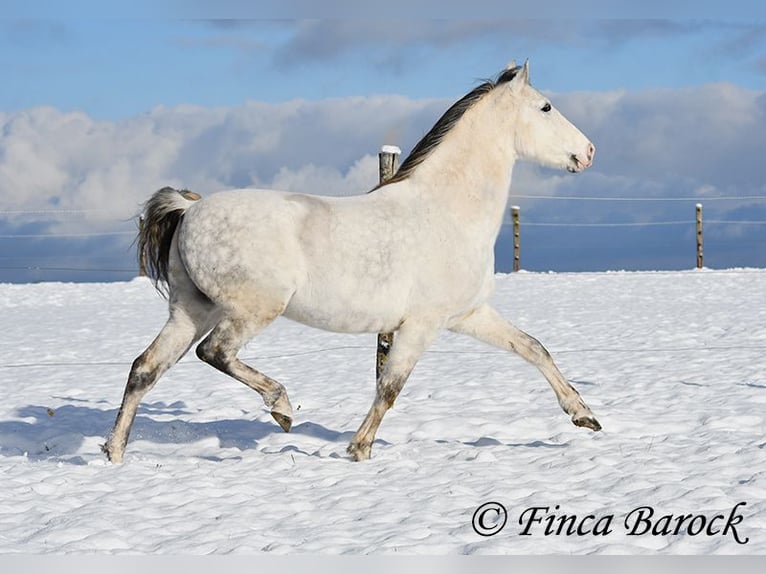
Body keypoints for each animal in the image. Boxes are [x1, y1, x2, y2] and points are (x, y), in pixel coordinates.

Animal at [105, 60, 604, 466]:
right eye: (545, 107)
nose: (588, 152)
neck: (448, 210)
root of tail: (189, 209)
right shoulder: (420, 326)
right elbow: (389, 387)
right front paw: (358, 449)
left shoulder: (468, 315)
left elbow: (534, 348)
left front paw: (585, 417)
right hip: (251, 309)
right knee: (215, 353)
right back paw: (282, 408)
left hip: (191, 309)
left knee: (145, 368)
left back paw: (113, 453)